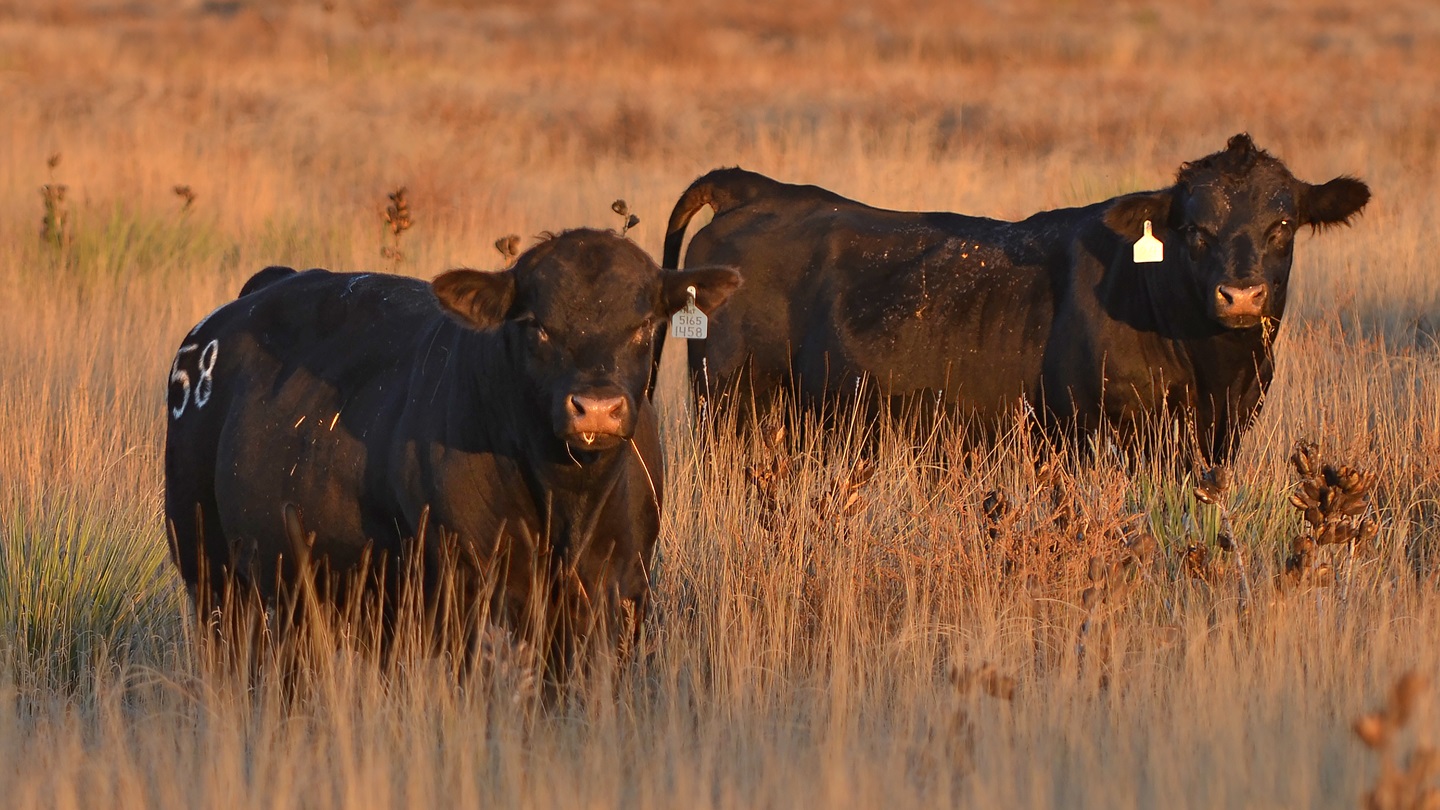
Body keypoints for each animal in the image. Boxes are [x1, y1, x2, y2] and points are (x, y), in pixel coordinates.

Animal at [164, 228, 740, 676]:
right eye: (536, 325)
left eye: (643, 325)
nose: (595, 408)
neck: (568, 505)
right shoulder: (471, 594)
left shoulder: (620, 594)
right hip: (213, 575)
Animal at [660, 134, 1370, 462]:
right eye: (1195, 230)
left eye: (1282, 225)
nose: (1241, 295)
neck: (1215, 372)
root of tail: (757, 189)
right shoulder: (1099, 435)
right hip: (734, 410)